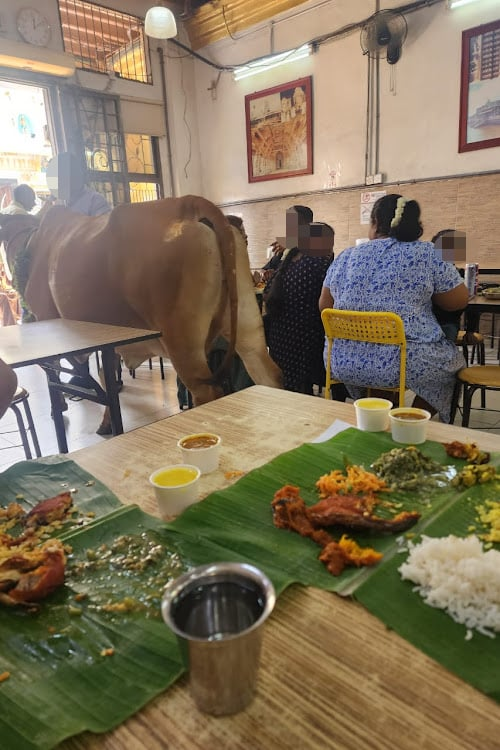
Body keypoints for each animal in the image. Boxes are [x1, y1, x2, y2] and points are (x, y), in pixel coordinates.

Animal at [0, 197, 282, 434]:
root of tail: (188, 202)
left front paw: (59, 408)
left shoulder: (46, 320)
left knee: (208, 392)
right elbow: (105, 375)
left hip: (183, 345)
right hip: (248, 326)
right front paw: (107, 421)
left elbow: (59, 373)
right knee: (269, 375)